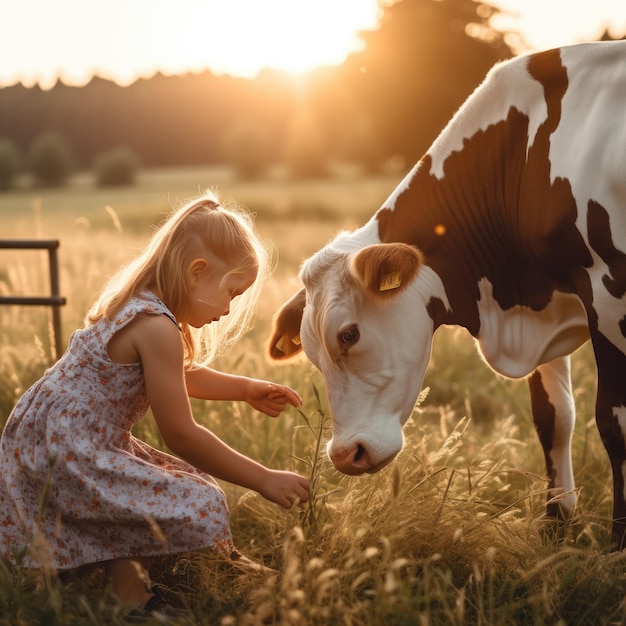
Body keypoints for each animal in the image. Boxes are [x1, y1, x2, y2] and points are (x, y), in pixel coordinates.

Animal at [266, 40, 624, 544]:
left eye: (349, 335)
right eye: (311, 353)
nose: (344, 455)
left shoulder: (607, 296)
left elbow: (615, 424)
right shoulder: (550, 298)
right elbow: (554, 418)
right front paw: (556, 526)